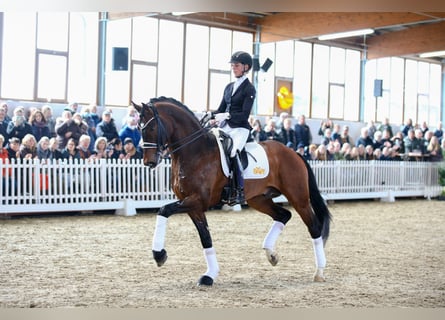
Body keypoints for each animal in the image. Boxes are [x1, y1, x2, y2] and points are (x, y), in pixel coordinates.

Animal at [132, 96, 330, 286]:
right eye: (139, 129)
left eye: (151, 128)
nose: (149, 162)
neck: (195, 151)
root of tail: (293, 152)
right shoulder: (193, 206)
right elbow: (205, 238)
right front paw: (209, 276)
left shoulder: (198, 200)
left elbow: (163, 210)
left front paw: (159, 254)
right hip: (259, 199)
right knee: (283, 215)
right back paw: (271, 254)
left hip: (298, 198)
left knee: (314, 227)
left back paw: (319, 272)